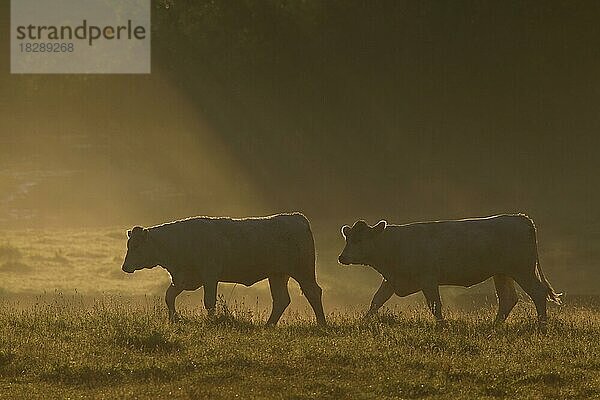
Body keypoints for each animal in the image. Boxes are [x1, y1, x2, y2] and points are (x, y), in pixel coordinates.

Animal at [120, 212, 326, 324]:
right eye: (129, 245)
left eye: (136, 246)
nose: (125, 267)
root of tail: (297, 218)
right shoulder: (183, 278)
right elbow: (169, 296)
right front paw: (174, 319)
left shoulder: (210, 275)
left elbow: (209, 301)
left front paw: (210, 321)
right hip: (277, 274)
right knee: (281, 300)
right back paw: (268, 326)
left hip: (303, 270)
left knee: (313, 292)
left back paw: (322, 324)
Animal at [340, 214, 560, 330]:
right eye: (348, 238)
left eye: (359, 239)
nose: (342, 257)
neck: (392, 244)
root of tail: (519, 218)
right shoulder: (390, 280)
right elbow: (376, 301)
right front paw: (362, 322)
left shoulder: (428, 280)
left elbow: (435, 306)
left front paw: (442, 326)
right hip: (502, 274)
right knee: (508, 299)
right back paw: (494, 326)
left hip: (522, 270)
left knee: (537, 293)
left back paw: (542, 325)